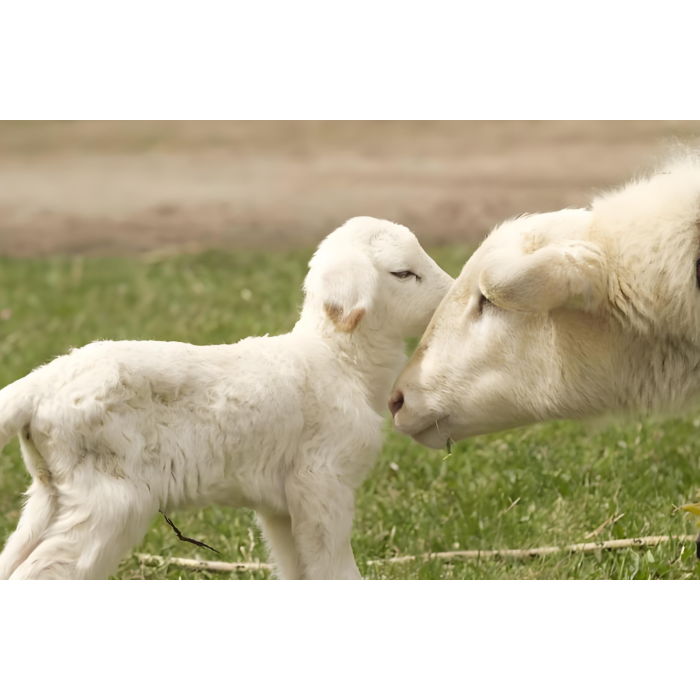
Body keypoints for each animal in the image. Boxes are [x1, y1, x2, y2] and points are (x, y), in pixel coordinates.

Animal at [0, 216, 453, 580]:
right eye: (403, 273)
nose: (451, 297)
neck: (337, 360)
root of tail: (39, 385)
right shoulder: (322, 481)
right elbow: (335, 571)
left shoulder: (280, 506)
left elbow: (298, 570)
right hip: (108, 497)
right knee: (41, 572)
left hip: (51, 492)